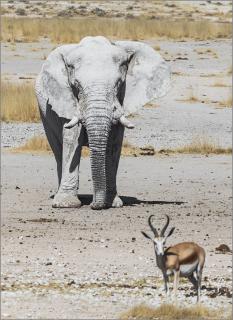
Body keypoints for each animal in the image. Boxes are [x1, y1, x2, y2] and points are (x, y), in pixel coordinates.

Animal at [34, 35, 170, 210]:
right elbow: (72, 139)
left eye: (119, 83)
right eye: (76, 85)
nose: (94, 205)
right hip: (44, 113)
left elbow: (113, 145)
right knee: (58, 150)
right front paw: (66, 204)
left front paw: (113, 203)